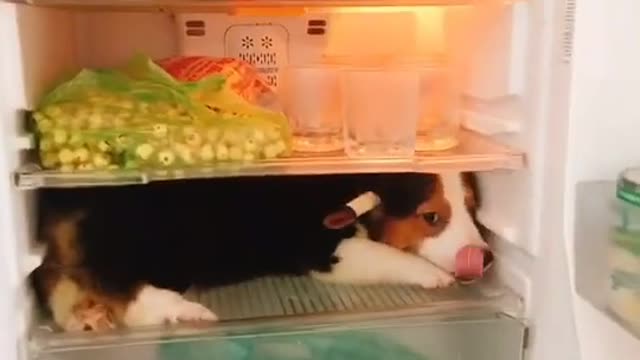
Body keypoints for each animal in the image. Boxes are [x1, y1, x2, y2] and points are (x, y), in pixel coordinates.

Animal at [30, 172, 490, 332]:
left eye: (472, 205)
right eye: (431, 217)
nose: (487, 259)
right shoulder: (323, 247)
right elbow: (388, 256)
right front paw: (433, 275)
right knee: (124, 291)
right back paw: (182, 311)